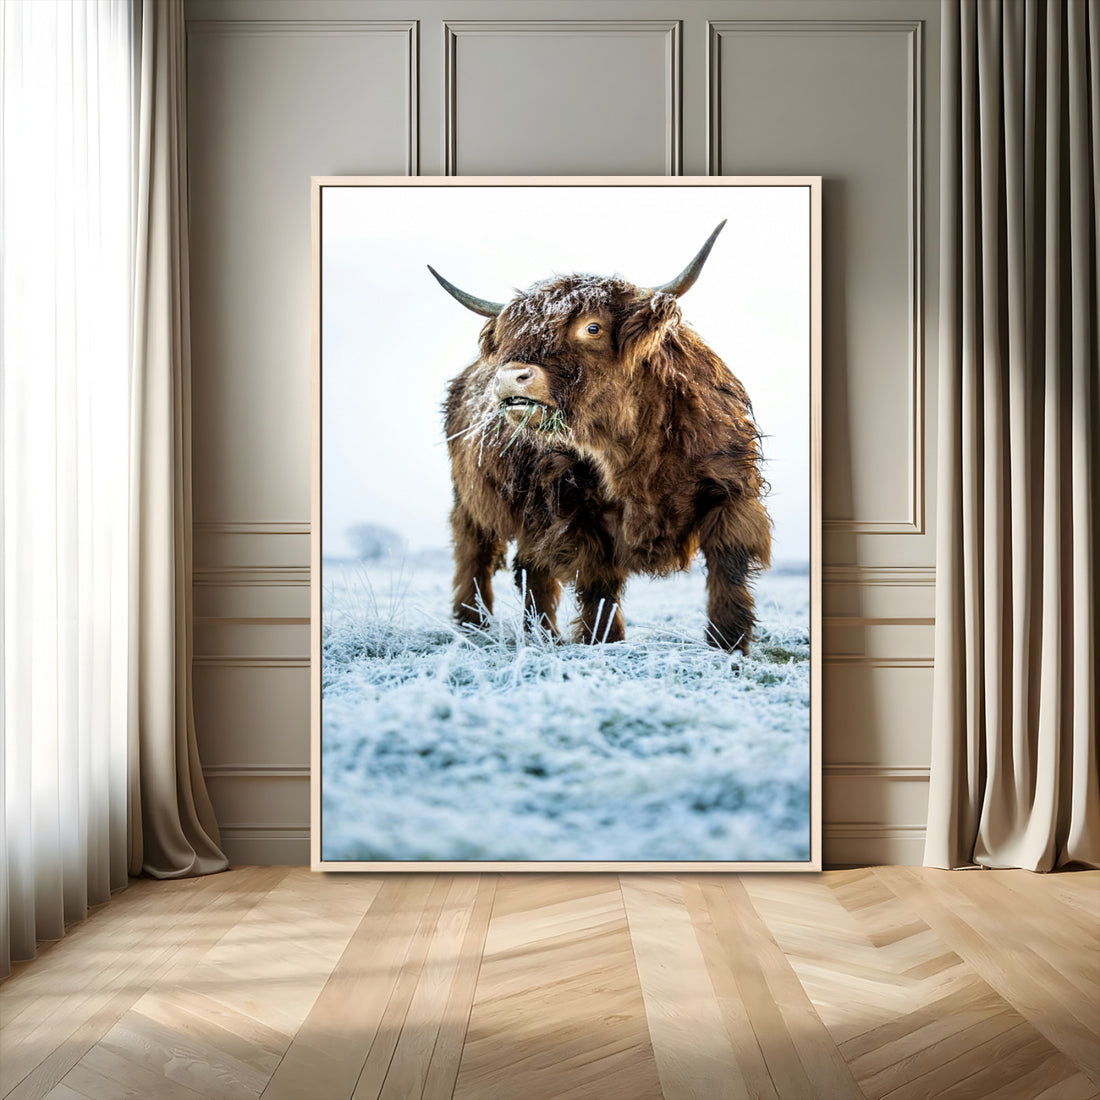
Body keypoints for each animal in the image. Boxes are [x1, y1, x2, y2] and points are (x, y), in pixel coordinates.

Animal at [430, 222, 771, 655]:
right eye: (509, 335)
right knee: (477, 559)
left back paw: (540, 635)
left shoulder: (730, 492)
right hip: (472, 504)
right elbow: (599, 581)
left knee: (530, 569)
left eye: (592, 327)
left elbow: (730, 567)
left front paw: (729, 644)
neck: (633, 453)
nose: (508, 377)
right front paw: (604, 640)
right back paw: (474, 626)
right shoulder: (573, 512)